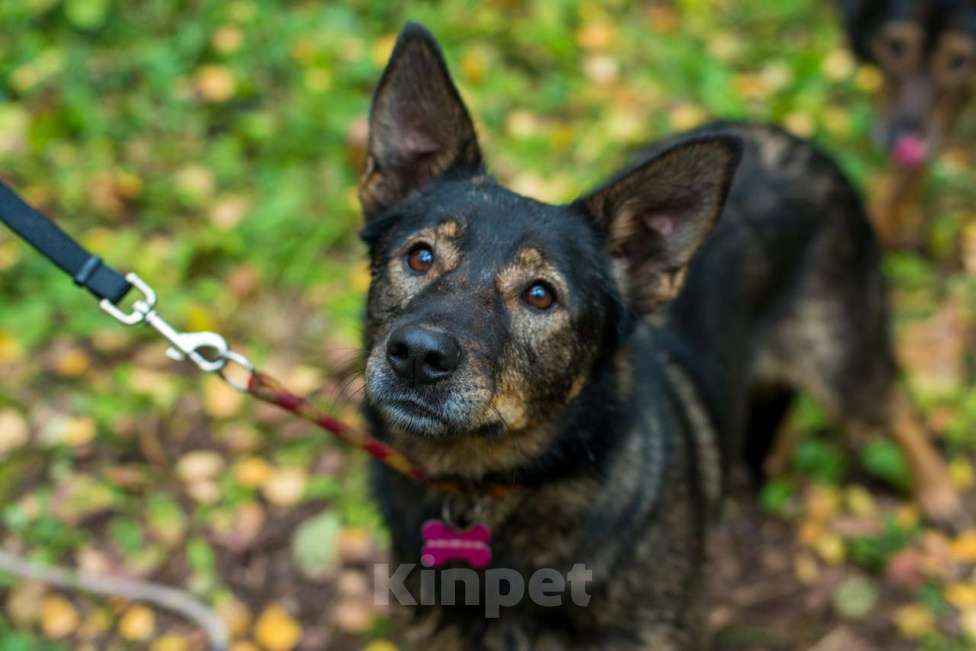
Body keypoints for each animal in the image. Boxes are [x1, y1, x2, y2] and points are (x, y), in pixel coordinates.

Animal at [356, 21, 960, 651]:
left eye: (541, 295)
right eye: (420, 256)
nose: (417, 355)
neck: (482, 485)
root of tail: (789, 133)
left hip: (843, 362)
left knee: (895, 401)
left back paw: (939, 496)